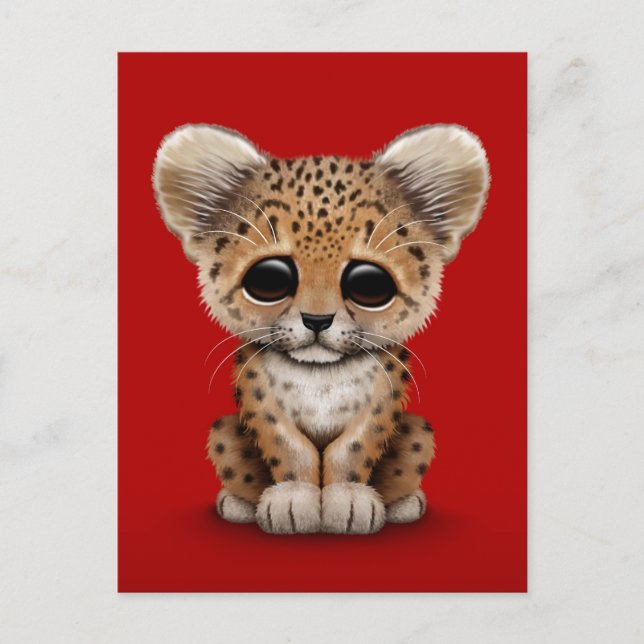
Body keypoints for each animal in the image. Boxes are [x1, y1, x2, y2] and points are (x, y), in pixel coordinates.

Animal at [153, 122, 489, 534]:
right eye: (268, 278)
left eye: (369, 284)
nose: (316, 320)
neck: (320, 375)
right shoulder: (258, 396)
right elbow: (288, 446)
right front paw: (293, 499)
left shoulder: (383, 398)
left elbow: (353, 448)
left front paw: (348, 499)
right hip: (223, 432)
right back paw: (237, 504)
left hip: (419, 433)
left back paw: (404, 504)